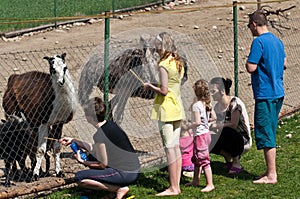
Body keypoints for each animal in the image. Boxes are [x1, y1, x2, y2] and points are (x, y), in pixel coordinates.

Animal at [2, 52, 77, 180]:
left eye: (65, 68)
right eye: (53, 69)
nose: (61, 82)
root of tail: (14, 78)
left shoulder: (58, 122)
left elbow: (56, 148)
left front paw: (58, 172)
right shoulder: (43, 122)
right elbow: (41, 150)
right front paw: (35, 175)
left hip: (30, 120)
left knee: (30, 143)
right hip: (11, 113)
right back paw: (16, 173)